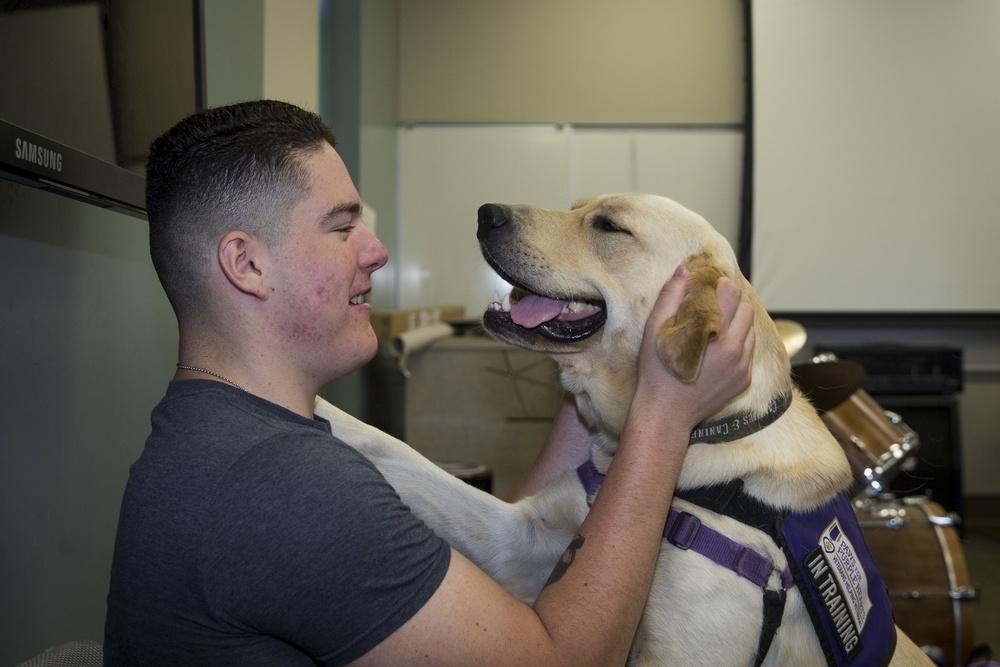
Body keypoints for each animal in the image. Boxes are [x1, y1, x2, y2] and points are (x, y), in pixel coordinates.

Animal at [314, 193, 928, 667]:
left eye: (609, 226)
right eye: (576, 206)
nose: (486, 213)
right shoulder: (522, 538)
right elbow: (392, 447)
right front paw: (312, 403)